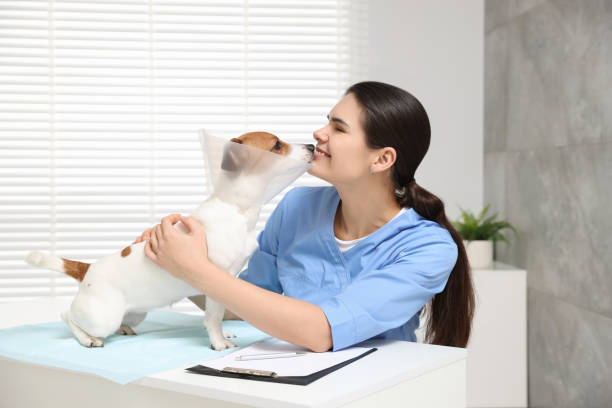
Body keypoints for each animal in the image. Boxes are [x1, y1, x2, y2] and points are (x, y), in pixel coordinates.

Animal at [25, 131, 314, 350]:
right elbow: (214, 317)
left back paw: (124, 328)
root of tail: (88, 268)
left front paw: (225, 333)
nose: (312, 145)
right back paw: (87, 339)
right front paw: (218, 341)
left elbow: (219, 314)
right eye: (276, 145)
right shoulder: (216, 281)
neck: (235, 207)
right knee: (67, 315)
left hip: (135, 311)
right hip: (102, 316)